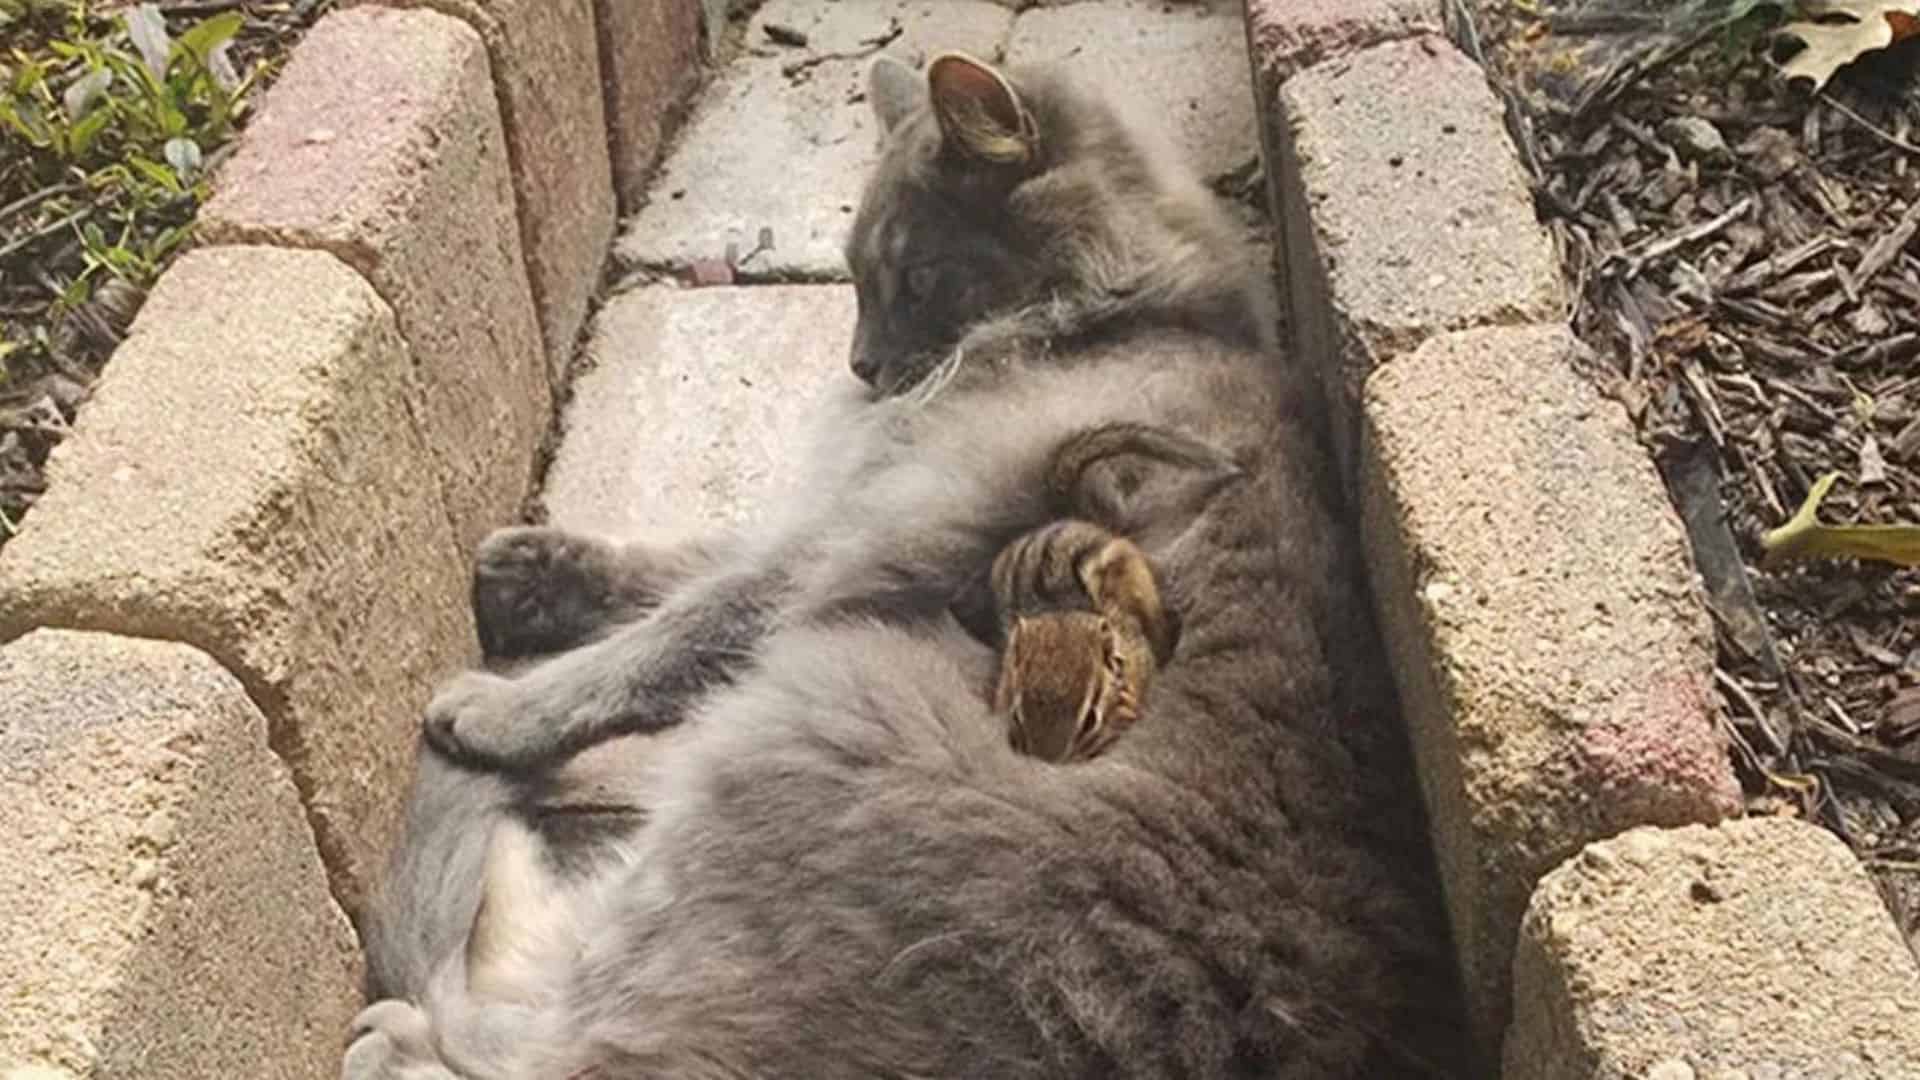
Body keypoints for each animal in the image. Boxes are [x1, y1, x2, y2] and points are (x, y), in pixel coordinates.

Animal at [345, 52, 1459, 1076]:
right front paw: (533, 575)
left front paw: (501, 707)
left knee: (533, 1030)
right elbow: (687, 562)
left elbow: (674, 629)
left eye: (914, 276)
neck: (1120, 315)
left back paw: (404, 1002)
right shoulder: (839, 507)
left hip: (797, 726)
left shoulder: (869, 532)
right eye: (850, 278)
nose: (862, 366)